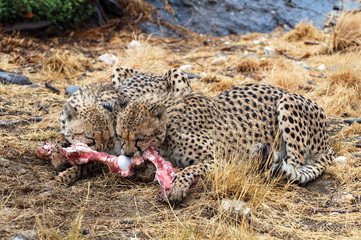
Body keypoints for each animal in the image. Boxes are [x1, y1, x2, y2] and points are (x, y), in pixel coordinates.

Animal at [52, 67, 191, 186]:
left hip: (176, 74)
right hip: (117, 70)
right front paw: (57, 156)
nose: (100, 151)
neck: (93, 99)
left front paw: (64, 177)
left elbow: (85, 166)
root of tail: (155, 74)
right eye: (90, 138)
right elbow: (59, 136)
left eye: (109, 138)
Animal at [116, 82, 334, 202]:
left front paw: (178, 187)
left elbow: (190, 169)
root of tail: (328, 143)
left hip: (287, 102)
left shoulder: (221, 159)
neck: (169, 125)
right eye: (120, 135)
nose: (126, 154)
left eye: (140, 138)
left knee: (294, 162)